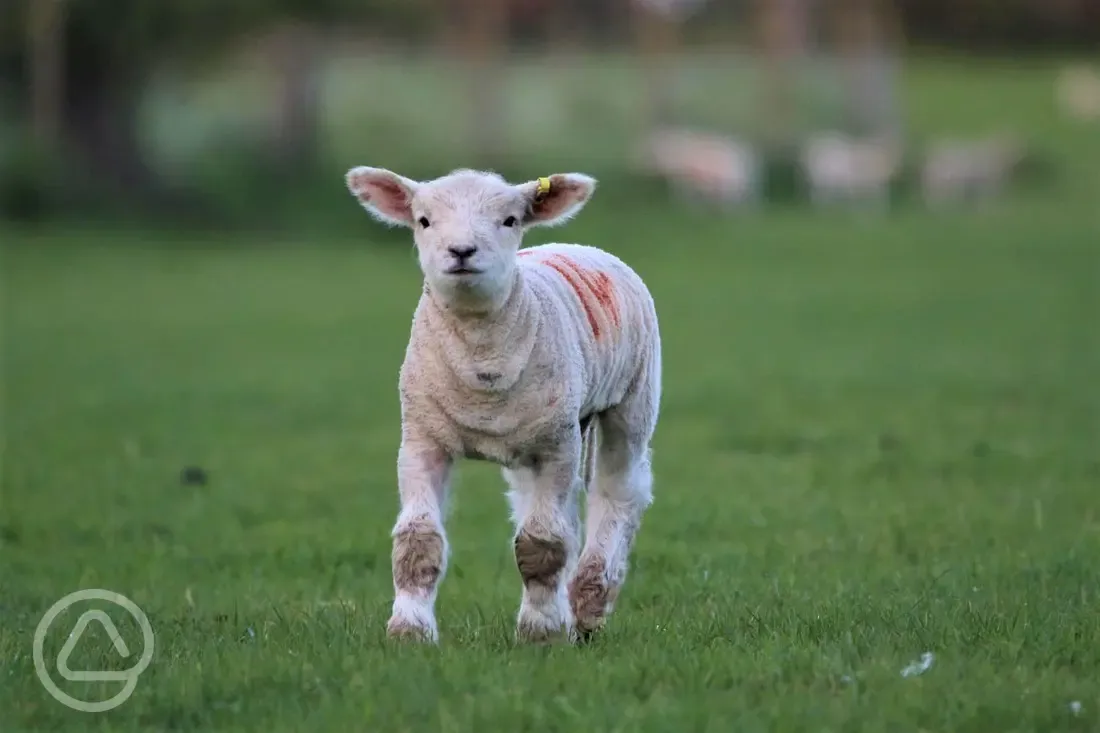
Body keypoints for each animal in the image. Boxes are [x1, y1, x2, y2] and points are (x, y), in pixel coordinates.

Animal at [343, 167, 660, 647]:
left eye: (510, 220)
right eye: (423, 220)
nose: (461, 251)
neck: (481, 360)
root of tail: (577, 246)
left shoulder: (556, 445)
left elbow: (541, 543)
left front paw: (540, 632)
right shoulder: (422, 439)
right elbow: (418, 538)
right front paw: (409, 631)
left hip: (632, 397)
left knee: (618, 491)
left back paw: (587, 608)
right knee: (553, 509)